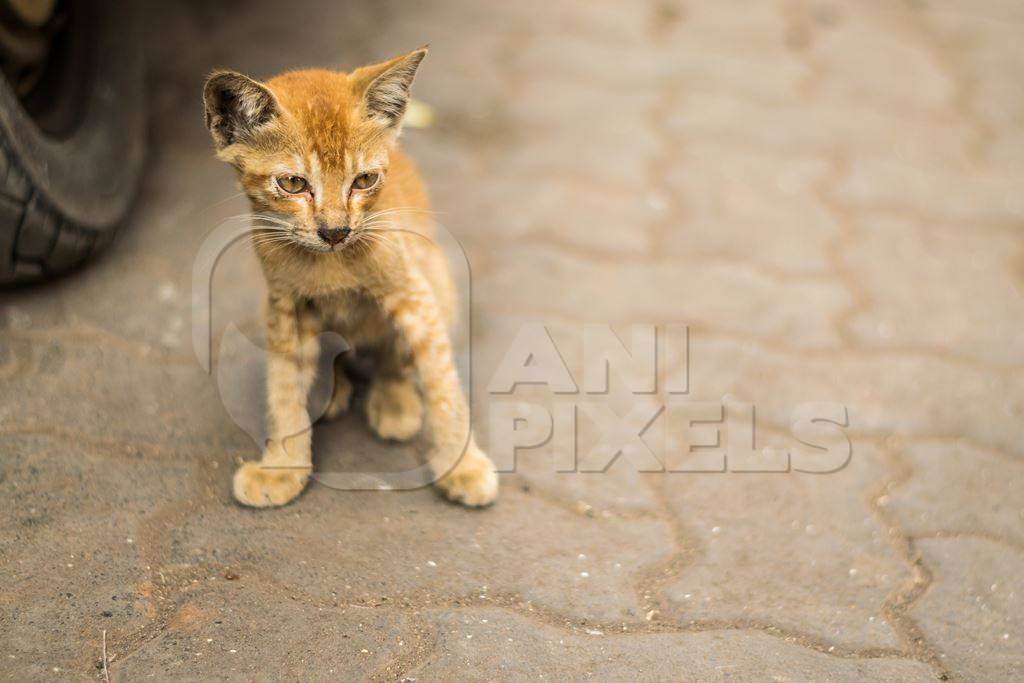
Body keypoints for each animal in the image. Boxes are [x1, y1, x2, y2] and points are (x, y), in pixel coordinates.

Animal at [201, 48, 497, 507]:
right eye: (293, 183)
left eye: (364, 180)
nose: (336, 231)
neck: (331, 263)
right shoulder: (284, 304)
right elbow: (283, 386)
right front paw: (283, 467)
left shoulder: (411, 292)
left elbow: (440, 381)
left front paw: (461, 465)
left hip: (438, 279)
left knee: (393, 354)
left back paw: (395, 401)